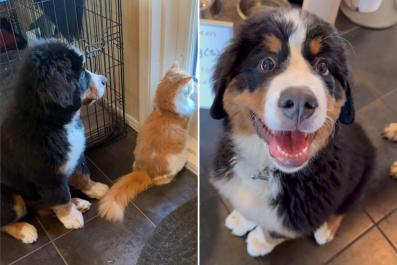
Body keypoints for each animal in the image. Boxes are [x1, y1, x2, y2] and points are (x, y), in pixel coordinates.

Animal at [1, 38, 110, 242]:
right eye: (81, 73)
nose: (105, 80)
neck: (52, 123)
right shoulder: (48, 175)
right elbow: (60, 198)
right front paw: (70, 217)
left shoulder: (76, 155)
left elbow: (82, 174)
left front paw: (95, 188)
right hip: (9, 197)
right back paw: (24, 229)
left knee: (43, 206)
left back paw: (78, 203)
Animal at [99, 61, 195, 221]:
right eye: (190, 86)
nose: (194, 88)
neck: (166, 110)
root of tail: (144, 171)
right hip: (179, 160)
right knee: (163, 180)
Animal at [210, 8, 374, 256]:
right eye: (266, 63)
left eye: (322, 67)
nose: (299, 103)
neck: (268, 171)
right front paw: (243, 220)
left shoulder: (302, 214)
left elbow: (276, 232)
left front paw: (259, 242)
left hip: (359, 180)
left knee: (345, 208)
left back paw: (327, 229)